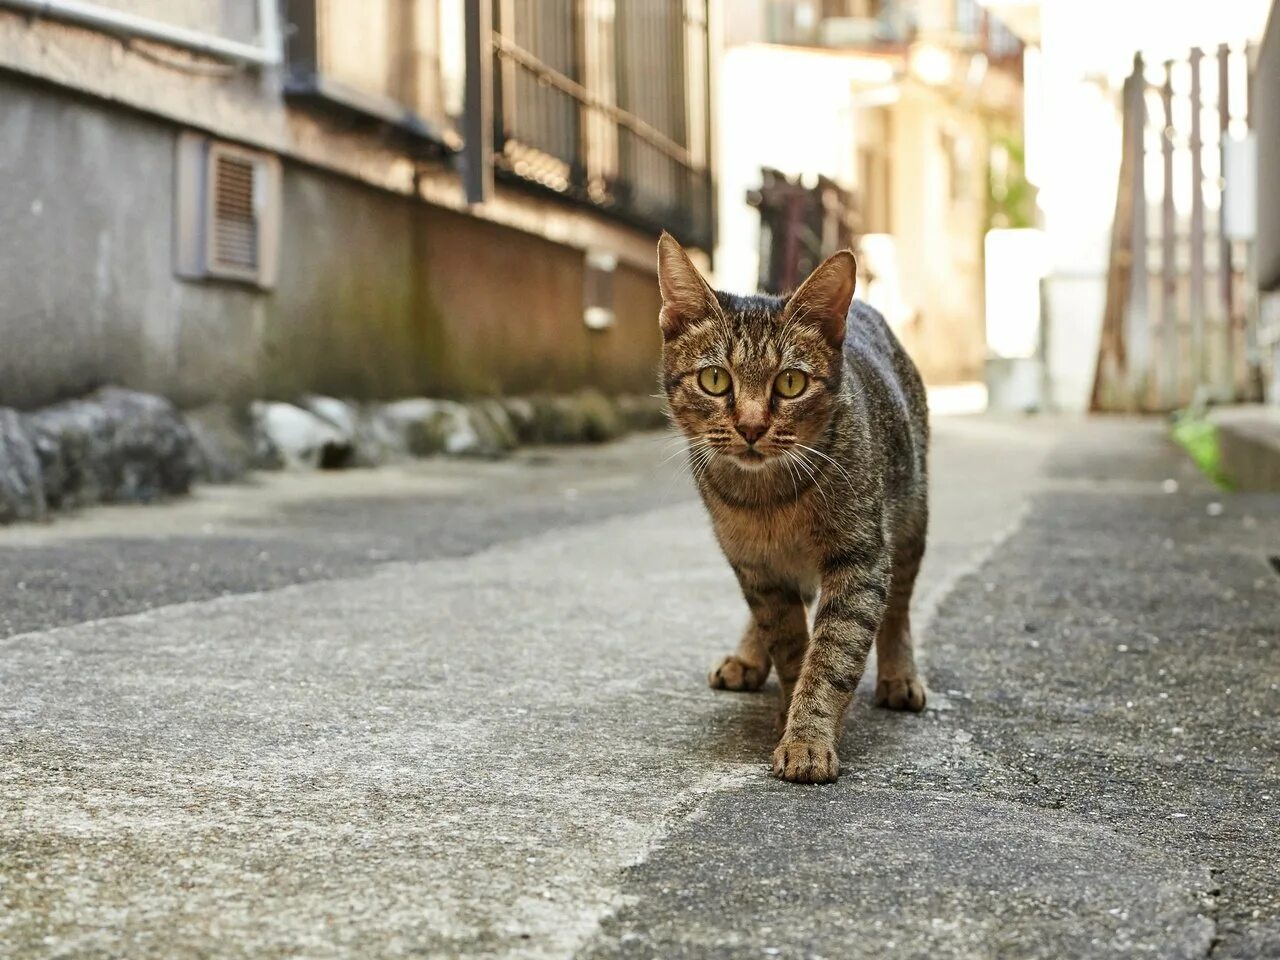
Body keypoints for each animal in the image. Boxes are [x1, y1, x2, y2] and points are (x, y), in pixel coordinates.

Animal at [655, 235, 926, 788]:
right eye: (715, 379)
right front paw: (790, 711)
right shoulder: (756, 567)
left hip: (911, 520)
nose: (752, 426)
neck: (770, 502)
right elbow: (788, 641)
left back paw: (898, 673)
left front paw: (808, 736)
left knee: (899, 608)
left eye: (790, 384)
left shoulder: (862, 560)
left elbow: (832, 656)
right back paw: (747, 657)